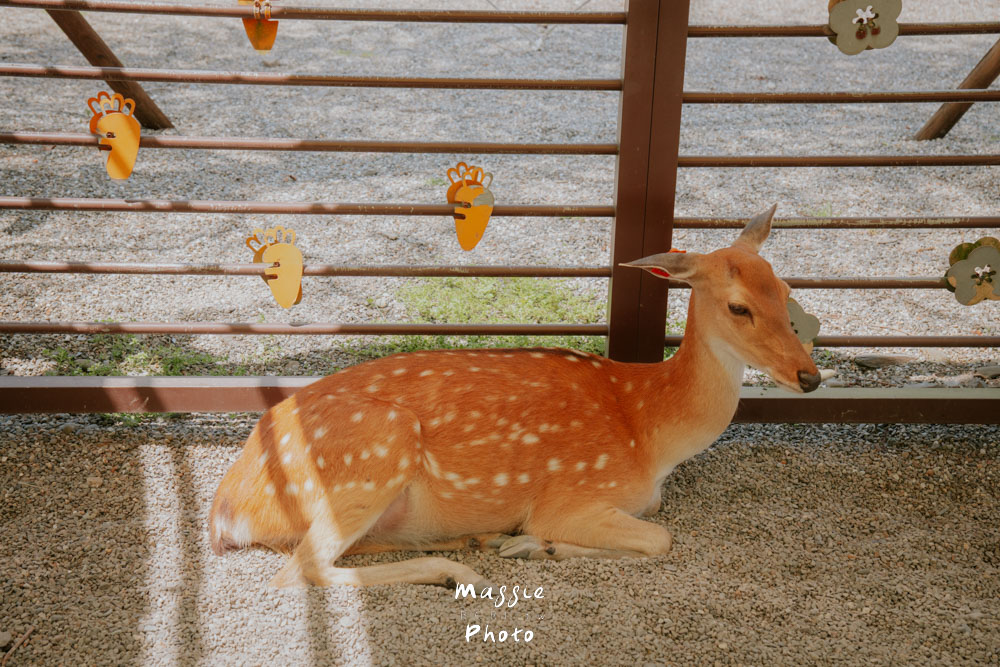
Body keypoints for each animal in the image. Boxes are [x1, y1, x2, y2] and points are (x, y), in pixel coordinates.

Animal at [209, 204, 821, 590]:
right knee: (300, 570)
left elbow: (656, 530)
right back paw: (459, 571)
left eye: (785, 288)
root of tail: (225, 512)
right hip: (372, 456)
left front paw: (527, 547)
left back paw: (470, 544)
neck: (649, 433)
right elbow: (660, 538)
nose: (810, 376)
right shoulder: (572, 495)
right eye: (739, 306)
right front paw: (533, 545)